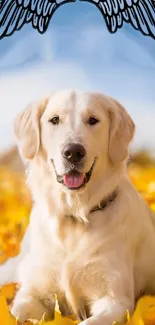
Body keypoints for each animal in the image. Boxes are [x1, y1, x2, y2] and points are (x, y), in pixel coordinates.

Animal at [2, 89, 155, 324]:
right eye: (54, 119)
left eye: (93, 120)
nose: (73, 152)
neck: (74, 215)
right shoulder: (33, 293)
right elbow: (16, 313)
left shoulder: (116, 301)